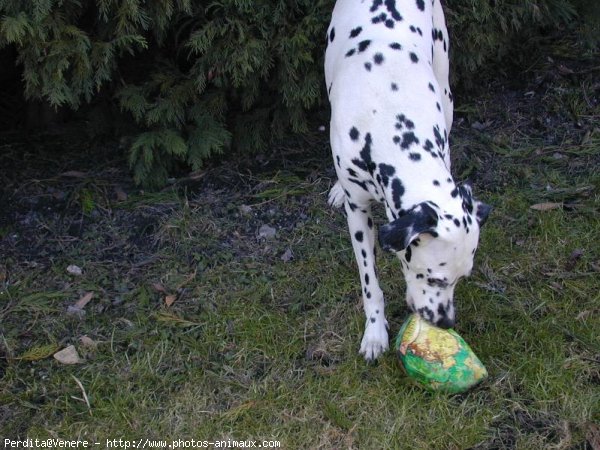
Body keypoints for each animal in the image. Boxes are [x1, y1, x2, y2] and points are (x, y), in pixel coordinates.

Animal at [324, 0, 492, 360]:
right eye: (433, 278)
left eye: (462, 277)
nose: (445, 322)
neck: (388, 112)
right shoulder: (358, 214)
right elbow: (370, 282)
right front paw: (374, 333)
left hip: (445, 82)